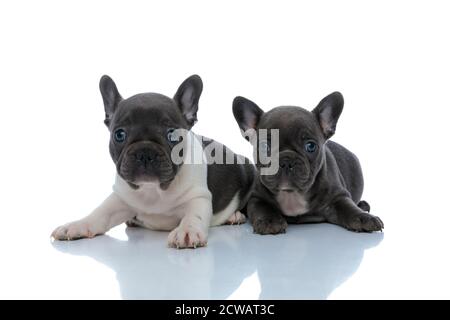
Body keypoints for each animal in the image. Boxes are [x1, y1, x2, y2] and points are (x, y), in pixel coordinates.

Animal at [51, 75, 255, 250]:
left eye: (172, 134)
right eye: (119, 134)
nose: (145, 152)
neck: (154, 191)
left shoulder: (198, 197)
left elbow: (193, 215)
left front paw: (187, 230)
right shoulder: (120, 198)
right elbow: (99, 213)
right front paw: (76, 225)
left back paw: (234, 216)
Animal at [232, 92, 384, 235]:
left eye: (310, 146)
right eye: (264, 147)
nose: (286, 162)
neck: (291, 194)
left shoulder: (338, 196)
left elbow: (349, 208)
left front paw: (364, 218)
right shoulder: (257, 197)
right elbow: (263, 208)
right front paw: (269, 221)